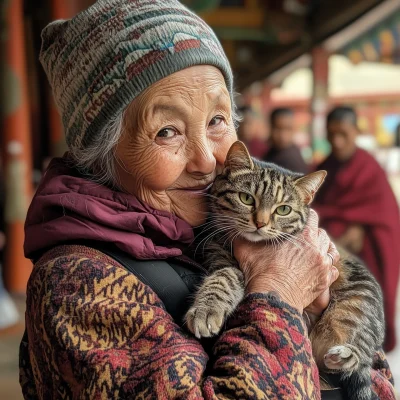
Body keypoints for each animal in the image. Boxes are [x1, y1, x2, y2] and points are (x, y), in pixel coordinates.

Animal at [186, 141, 386, 400]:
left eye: (283, 210)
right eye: (246, 198)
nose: (260, 223)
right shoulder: (218, 255)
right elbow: (223, 278)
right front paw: (207, 308)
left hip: (354, 307)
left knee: (359, 355)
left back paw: (346, 355)